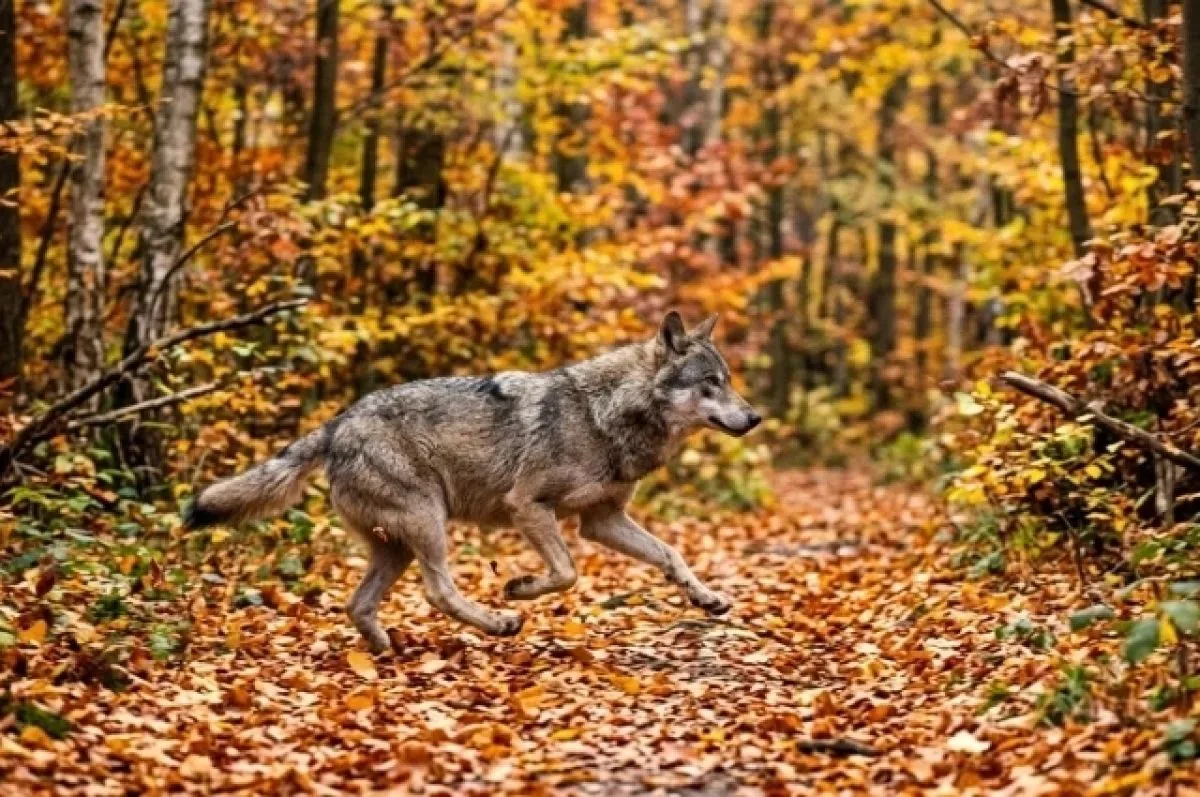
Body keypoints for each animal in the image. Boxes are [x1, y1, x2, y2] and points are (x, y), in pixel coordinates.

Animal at [185, 312, 762, 651]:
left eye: (730, 381)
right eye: (711, 383)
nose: (754, 417)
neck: (606, 415)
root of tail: (338, 422)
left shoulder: (602, 520)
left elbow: (671, 556)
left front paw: (707, 599)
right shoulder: (528, 506)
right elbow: (566, 573)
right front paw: (519, 589)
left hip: (396, 546)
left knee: (359, 604)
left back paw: (384, 651)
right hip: (428, 522)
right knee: (438, 590)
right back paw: (498, 624)